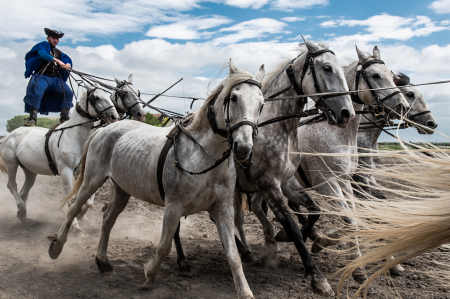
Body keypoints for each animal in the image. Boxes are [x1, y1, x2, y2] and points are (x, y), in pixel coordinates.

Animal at [0, 83, 118, 226]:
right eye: (97, 97)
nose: (114, 116)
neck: (74, 137)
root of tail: (9, 135)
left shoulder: (83, 172)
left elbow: (87, 200)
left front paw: (80, 214)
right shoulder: (65, 171)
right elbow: (70, 198)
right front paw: (75, 225)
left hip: (30, 171)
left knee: (24, 192)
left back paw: (22, 214)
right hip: (12, 164)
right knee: (12, 185)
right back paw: (21, 207)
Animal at [48, 59, 268, 298]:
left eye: (261, 104)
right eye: (234, 98)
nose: (243, 148)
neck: (204, 155)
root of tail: (106, 129)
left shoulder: (222, 209)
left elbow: (233, 254)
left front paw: (245, 291)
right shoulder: (173, 207)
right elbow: (164, 247)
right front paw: (149, 275)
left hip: (122, 191)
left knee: (107, 220)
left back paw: (103, 262)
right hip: (92, 181)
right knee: (73, 209)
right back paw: (57, 246)